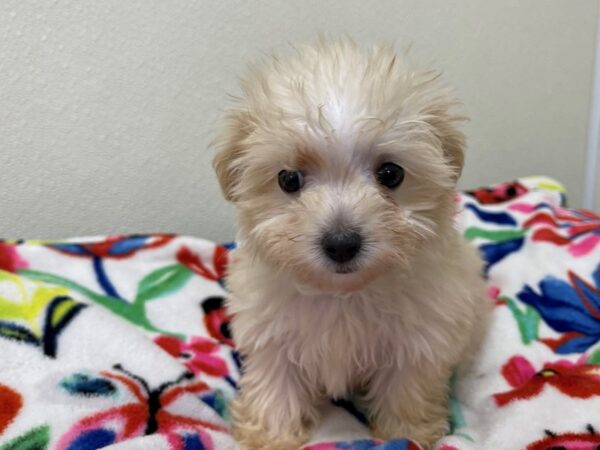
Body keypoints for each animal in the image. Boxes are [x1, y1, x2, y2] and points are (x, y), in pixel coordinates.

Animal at [213, 39, 490, 450]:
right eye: (288, 179)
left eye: (391, 174)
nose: (342, 244)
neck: (342, 295)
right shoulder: (271, 333)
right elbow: (276, 383)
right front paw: (271, 435)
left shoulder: (419, 337)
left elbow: (406, 387)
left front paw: (405, 433)